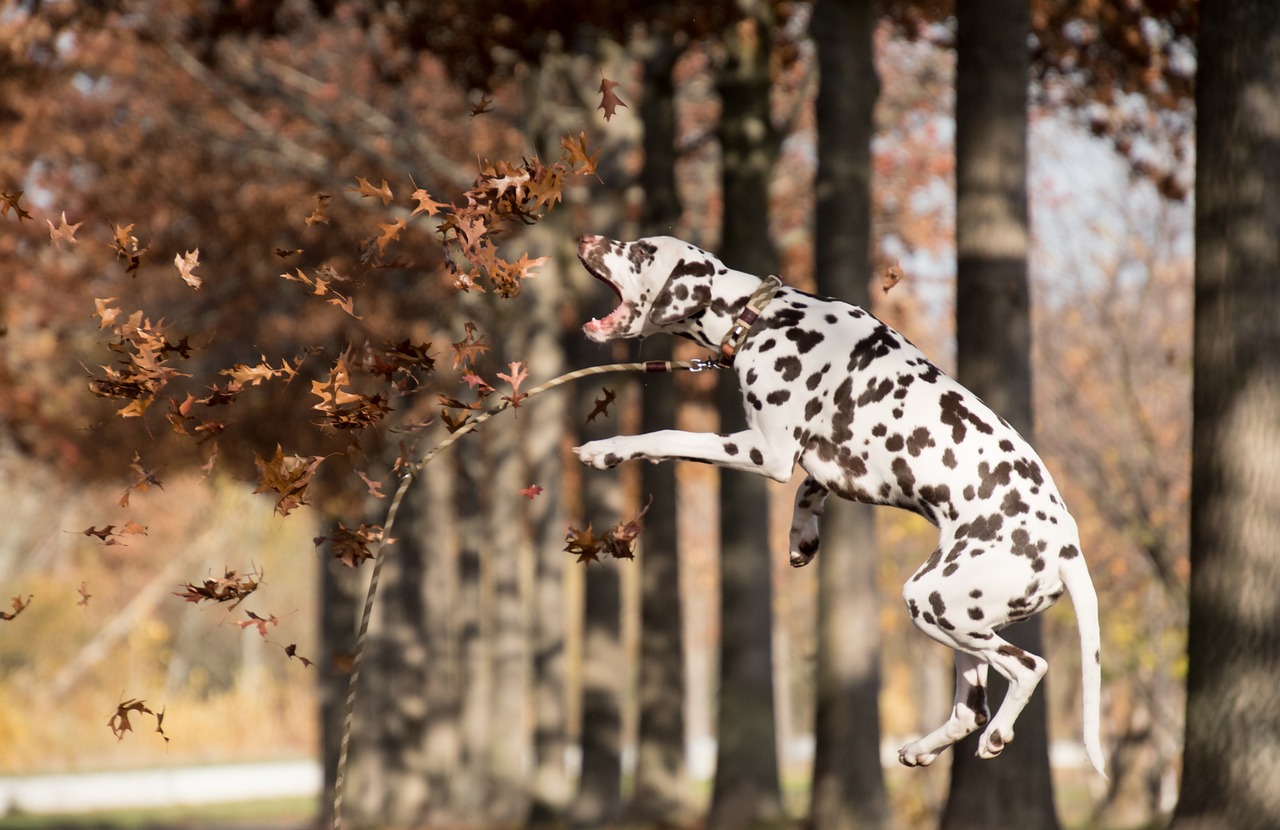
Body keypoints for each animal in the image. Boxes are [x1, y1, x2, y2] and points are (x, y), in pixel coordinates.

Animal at [576, 235, 1105, 778]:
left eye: (641, 251)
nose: (588, 240)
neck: (763, 315)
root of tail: (1067, 551)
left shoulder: (765, 452)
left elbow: (666, 436)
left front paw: (607, 450)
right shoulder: (830, 464)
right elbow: (808, 491)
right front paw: (802, 536)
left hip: (933, 602)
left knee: (1028, 667)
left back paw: (998, 733)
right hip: (962, 621)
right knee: (970, 707)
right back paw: (922, 748)